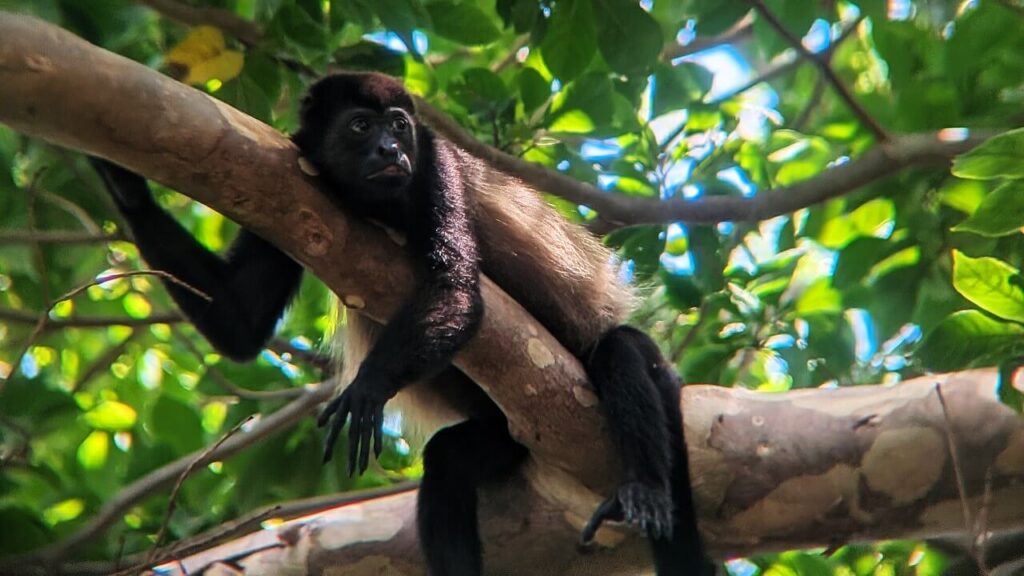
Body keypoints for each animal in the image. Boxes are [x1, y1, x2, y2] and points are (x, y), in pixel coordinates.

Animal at [91, 71, 714, 576]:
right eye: (360, 126)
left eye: (398, 125)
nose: (391, 148)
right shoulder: (286, 179)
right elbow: (240, 323)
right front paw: (125, 185)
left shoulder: (437, 162)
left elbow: (455, 291)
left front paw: (368, 386)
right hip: (505, 442)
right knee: (447, 467)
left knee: (620, 353)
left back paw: (646, 491)